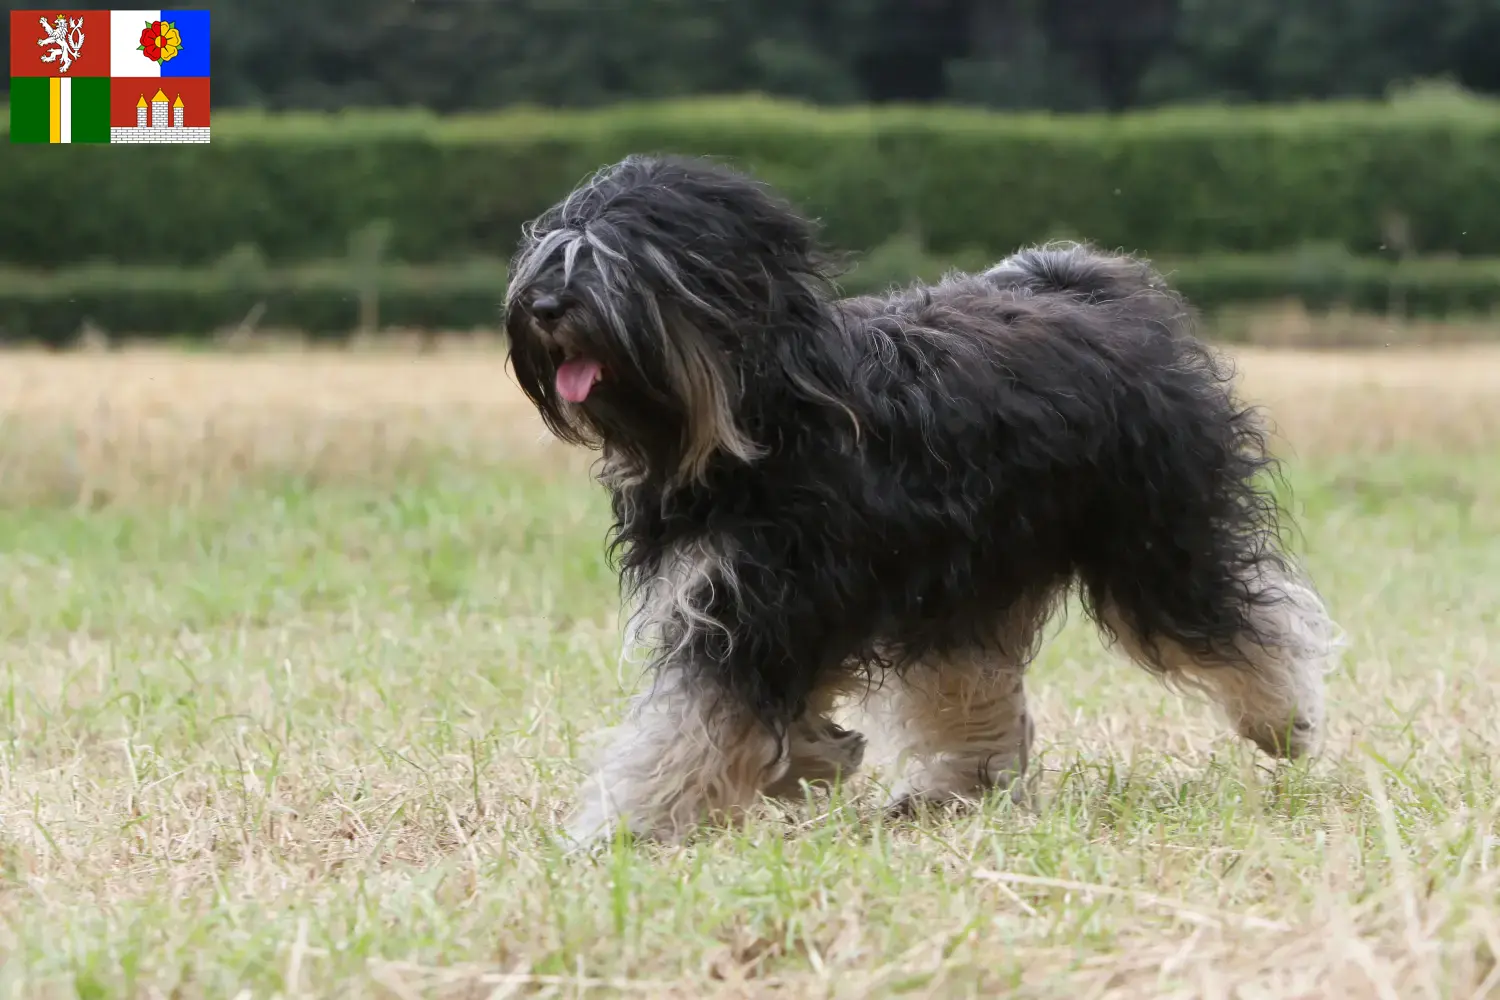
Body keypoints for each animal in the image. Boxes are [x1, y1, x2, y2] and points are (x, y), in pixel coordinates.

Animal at [504, 152, 1350, 851]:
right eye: (551, 250)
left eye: (618, 262)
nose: (542, 306)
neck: (760, 418)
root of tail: (1089, 287)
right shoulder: (756, 599)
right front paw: (817, 756)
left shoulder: (762, 604)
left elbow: (688, 727)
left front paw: (618, 832)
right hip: (967, 580)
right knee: (969, 682)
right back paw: (952, 787)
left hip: (1151, 535)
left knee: (1234, 618)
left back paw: (1286, 722)